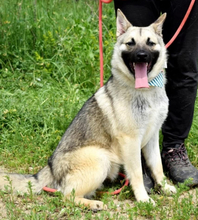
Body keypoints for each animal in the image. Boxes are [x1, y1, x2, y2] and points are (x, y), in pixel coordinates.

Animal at [0, 9, 176, 210]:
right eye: (130, 43)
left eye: (150, 43)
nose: (141, 55)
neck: (145, 91)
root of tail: (50, 168)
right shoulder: (131, 142)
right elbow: (138, 173)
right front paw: (143, 199)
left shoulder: (152, 137)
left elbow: (157, 167)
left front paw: (164, 186)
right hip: (100, 158)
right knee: (66, 196)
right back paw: (93, 204)